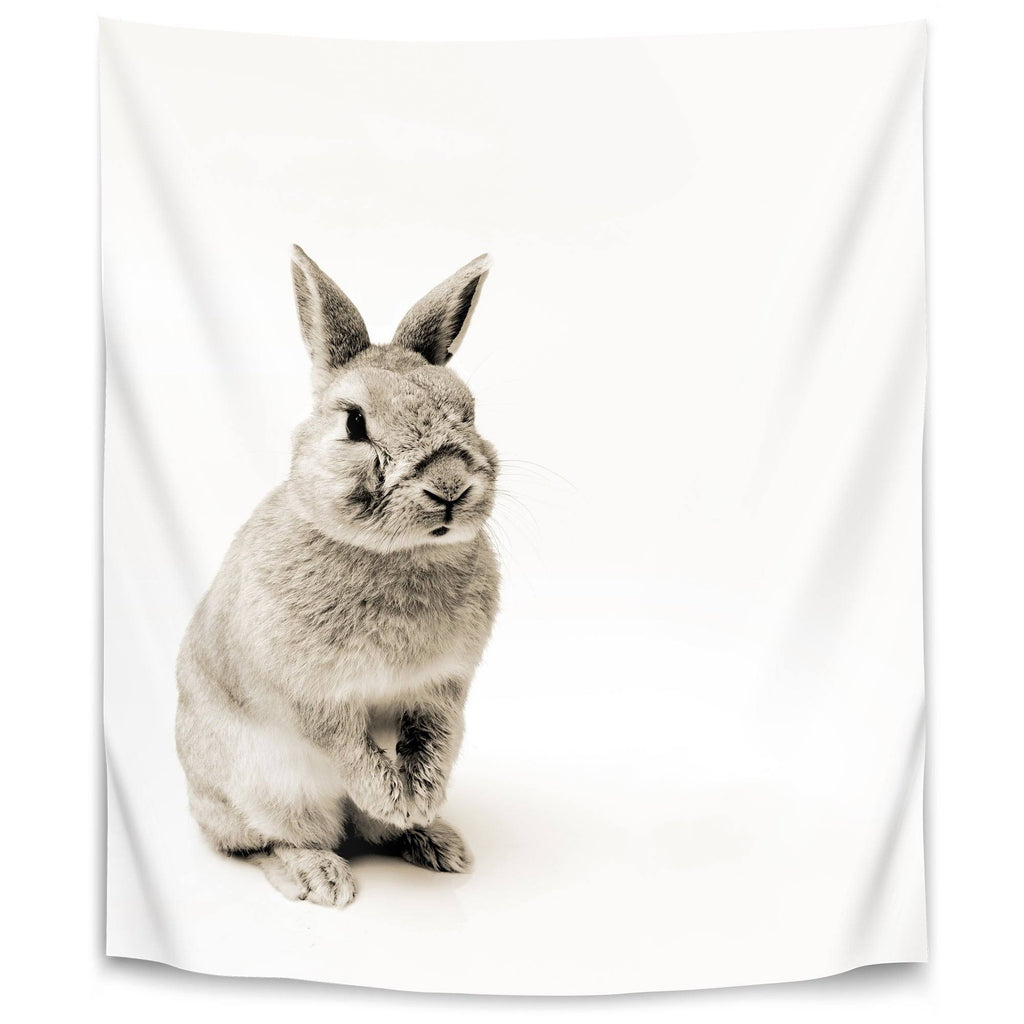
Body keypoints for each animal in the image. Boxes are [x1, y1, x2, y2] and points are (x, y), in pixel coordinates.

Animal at [175, 246, 500, 907]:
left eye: (469, 413)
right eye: (354, 424)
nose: (450, 486)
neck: (395, 553)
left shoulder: (443, 689)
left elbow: (435, 739)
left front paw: (419, 802)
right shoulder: (315, 697)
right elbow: (349, 748)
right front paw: (393, 798)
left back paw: (436, 841)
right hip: (268, 789)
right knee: (268, 842)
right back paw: (320, 875)